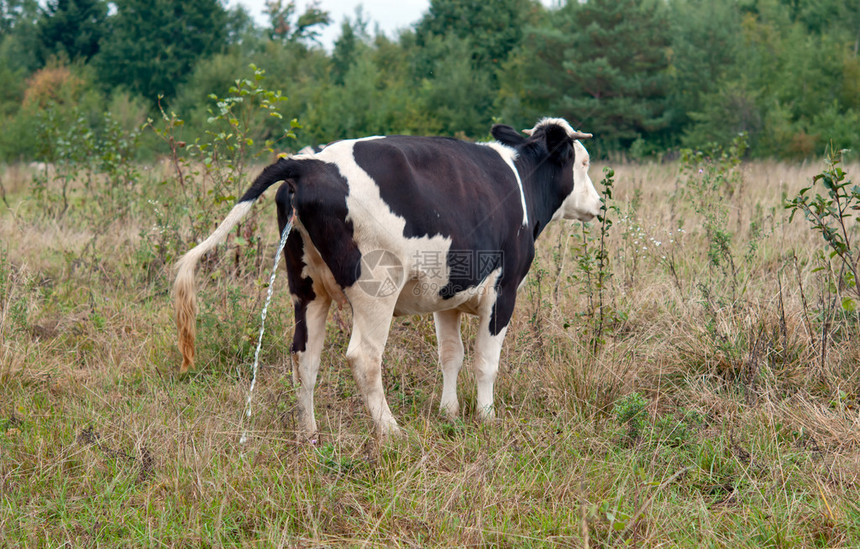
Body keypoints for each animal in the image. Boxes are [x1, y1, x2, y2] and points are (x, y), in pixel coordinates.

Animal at [176, 117, 600, 434]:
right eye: (583, 163)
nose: (598, 202)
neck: (521, 181)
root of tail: (310, 162)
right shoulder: (503, 291)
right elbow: (485, 360)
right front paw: (486, 417)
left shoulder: (447, 295)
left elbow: (451, 355)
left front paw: (449, 412)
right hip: (376, 288)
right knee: (363, 357)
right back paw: (390, 429)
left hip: (306, 287)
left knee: (304, 356)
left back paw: (308, 432)